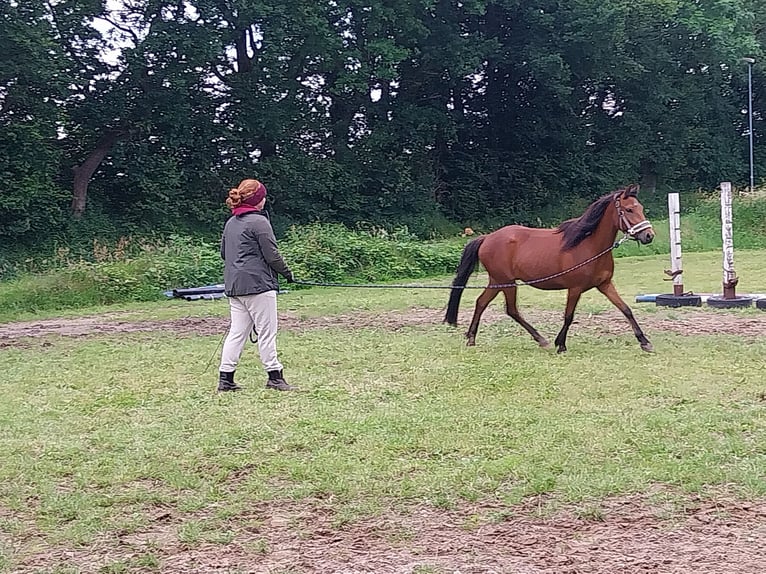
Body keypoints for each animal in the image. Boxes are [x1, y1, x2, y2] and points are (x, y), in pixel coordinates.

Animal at [448, 187, 656, 354]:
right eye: (629, 209)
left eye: (640, 208)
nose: (649, 235)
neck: (589, 246)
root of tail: (487, 238)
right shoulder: (575, 289)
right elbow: (569, 316)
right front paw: (560, 345)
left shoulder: (605, 285)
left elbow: (626, 309)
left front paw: (644, 342)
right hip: (506, 282)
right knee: (511, 310)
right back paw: (541, 340)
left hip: (497, 281)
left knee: (481, 303)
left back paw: (472, 338)